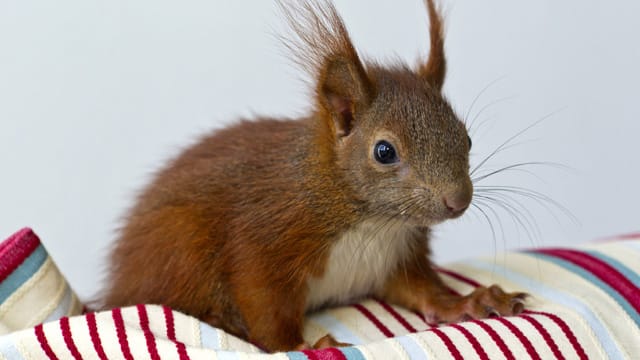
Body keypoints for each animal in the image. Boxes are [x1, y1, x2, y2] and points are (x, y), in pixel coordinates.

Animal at [101, 0, 524, 352]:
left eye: (466, 137)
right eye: (384, 152)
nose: (458, 200)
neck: (372, 222)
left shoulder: (396, 257)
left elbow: (423, 291)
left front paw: (470, 301)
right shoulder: (267, 237)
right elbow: (264, 308)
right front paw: (305, 345)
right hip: (178, 245)